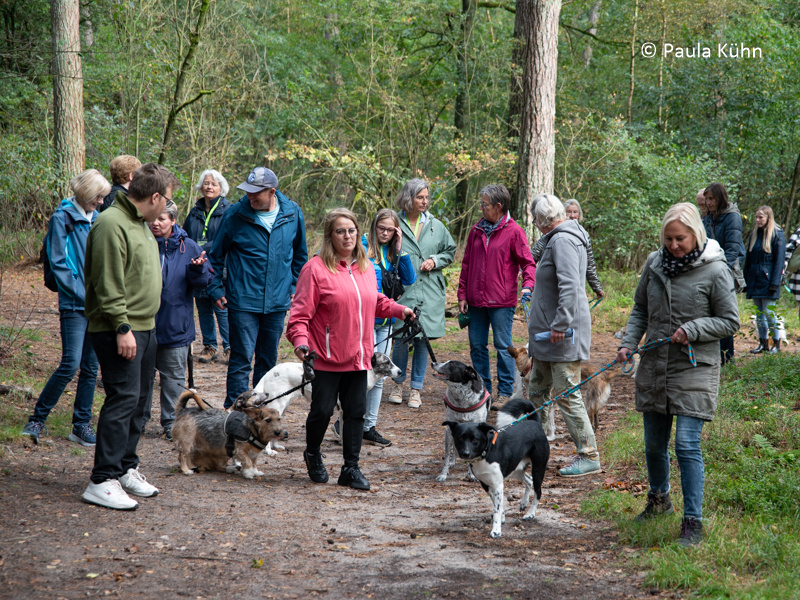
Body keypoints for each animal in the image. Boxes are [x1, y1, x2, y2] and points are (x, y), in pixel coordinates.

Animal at [250, 352, 401, 450]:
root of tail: (270, 372)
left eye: (391, 361)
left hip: (282, 407)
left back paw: (276, 446)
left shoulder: (343, 411)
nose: (400, 372)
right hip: (278, 405)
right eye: (387, 362)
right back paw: (269, 451)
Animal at [444, 398, 549, 538]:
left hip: (538, 467)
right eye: (460, 438)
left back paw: (530, 513)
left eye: (475, 439)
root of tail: (534, 423)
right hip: (516, 469)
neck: (486, 452)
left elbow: (497, 508)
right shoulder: (486, 484)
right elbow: (496, 503)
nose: (465, 453)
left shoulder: (498, 484)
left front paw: (496, 530)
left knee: (538, 491)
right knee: (529, 480)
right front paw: (502, 518)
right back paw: (523, 503)